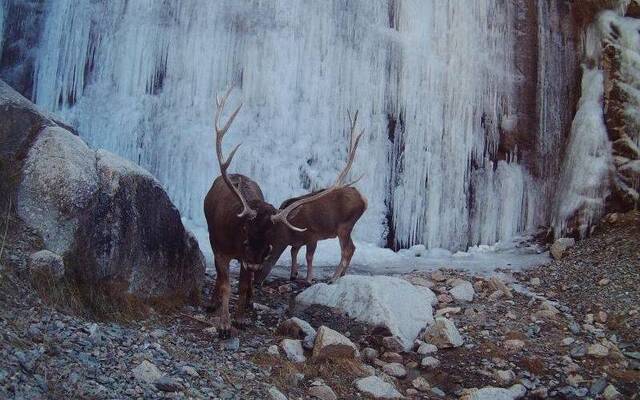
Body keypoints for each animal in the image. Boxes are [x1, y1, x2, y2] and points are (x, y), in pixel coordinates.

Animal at [254, 109, 368, 284]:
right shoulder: (297, 242)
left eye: (265, 256)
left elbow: (309, 256)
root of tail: (363, 199)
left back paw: (334, 277)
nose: (255, 281)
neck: (289, 233)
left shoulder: (312, 235)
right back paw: (342, 274)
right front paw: (293, 274)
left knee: (347, 250)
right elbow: (294, 252)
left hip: (345, 225)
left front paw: (309, 278)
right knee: (353, 248)